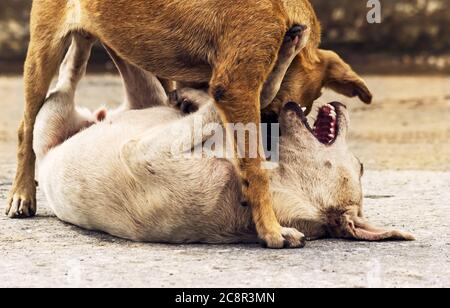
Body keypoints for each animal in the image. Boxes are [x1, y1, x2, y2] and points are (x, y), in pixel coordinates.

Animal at [7, 0, 370, 250]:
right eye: (281, 109)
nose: (273, 125)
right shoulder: (236, 87)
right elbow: (255, 172)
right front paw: (270, 230)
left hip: (135, 49)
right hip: (43, 51)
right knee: (27, 127)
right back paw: (22, 192)